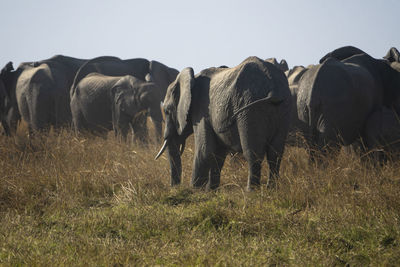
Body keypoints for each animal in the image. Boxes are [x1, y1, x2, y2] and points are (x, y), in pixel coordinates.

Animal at [154, 56, 290, 191]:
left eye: (167, 111)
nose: (175, 187)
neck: (191, 79)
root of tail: (274, 89)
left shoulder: (202, 110)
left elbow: (204, 150)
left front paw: (194, 190)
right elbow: (218, 154)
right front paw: (210, 191)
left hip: (250, 108)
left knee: (253, 152)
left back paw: (250, 191)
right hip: (282, 109)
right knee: (275, 154)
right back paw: (272, 189)